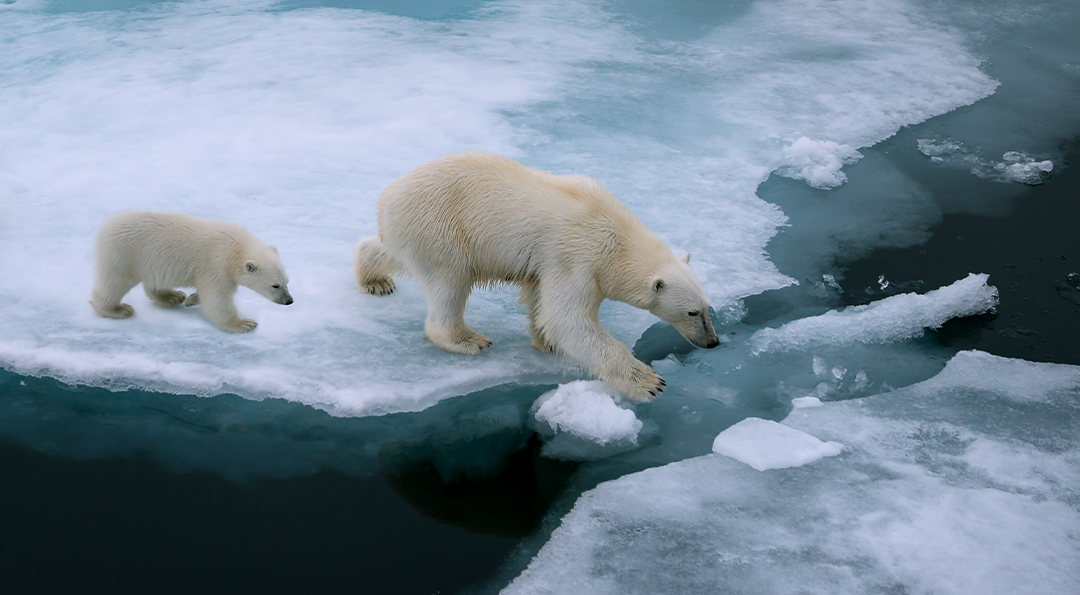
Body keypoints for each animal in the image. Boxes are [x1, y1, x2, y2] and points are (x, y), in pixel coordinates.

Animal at [89, 210, 293, 332]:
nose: (289, 301)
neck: (234, 247)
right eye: (275, 285)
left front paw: (192, 299)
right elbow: (216, 299)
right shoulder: (216, 264)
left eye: (287, 281)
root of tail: (105, 226)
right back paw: (117, 309)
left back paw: (172, 296)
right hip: (123, 255)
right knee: (114, 282)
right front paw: (245, 323)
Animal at [354, 151, 721, 403]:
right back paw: (467, 339)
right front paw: (649, 382)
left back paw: (373, 278)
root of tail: (386, 199)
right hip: (441, 227)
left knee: (392, 252)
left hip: (412, 231)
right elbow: (566, 318)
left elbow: (540, 299)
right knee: (450, 281)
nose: (713, 342)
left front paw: (546, 341)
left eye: (708, 307)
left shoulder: (550, 262)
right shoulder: (579, 257)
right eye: (692, 312)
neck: (616, 234)